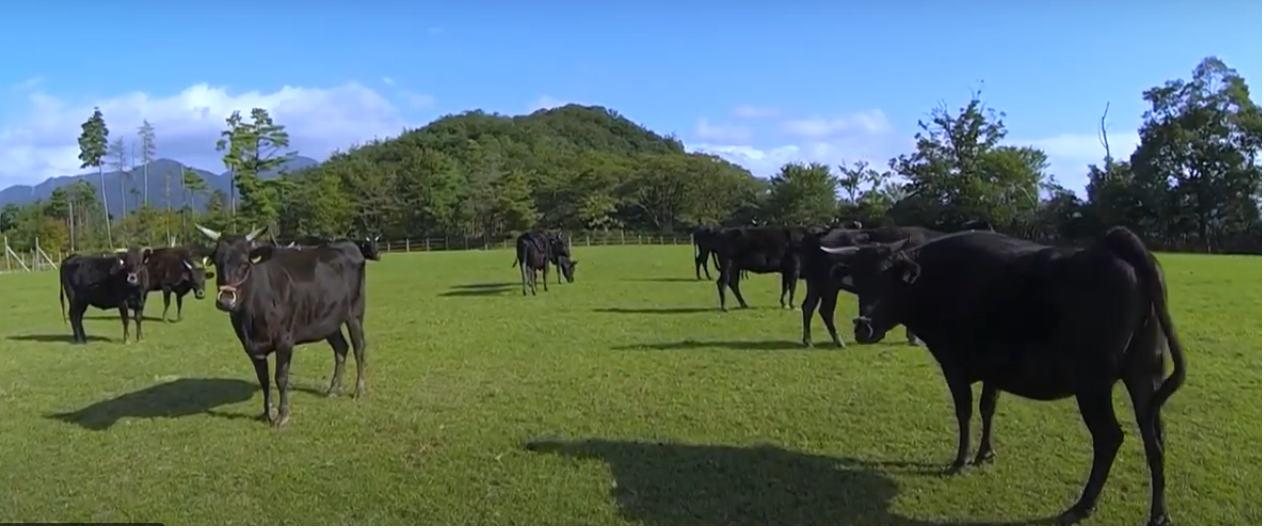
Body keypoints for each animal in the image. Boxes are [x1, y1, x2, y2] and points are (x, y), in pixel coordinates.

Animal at [194, 223, 369, 429]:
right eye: (217, 263)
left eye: (245, 264)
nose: (226, 301)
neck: (251, 318)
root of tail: (346, 245)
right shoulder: (251, 347)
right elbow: (264, 379)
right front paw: (267, 413)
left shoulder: (284, 340)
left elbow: (281, 377)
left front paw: (282, 415)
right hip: (329, 321)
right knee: (341, 348)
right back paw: (334, 389)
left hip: (355, 313)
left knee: (359, 347)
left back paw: (359, 390)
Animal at [798, 226, 940, 346]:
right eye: (860, 280)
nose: (863, 330)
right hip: (827, 286)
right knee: (825, 310)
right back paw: (838, 341)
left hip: (815, 284)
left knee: (808, 306)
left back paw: (808, 341)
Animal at [819, 226, 1183, 522]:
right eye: (858, 280)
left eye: (887, 278)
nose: (862, 327)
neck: (937, 280)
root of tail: (1120, 248)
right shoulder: (994, 369)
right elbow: (988, 408)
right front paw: (985, 453)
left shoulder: (954, 365)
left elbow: (965, 411)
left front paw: (961, 460)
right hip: (1145, 376)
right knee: (1155, 438)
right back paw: (1158, 513)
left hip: (1092, 384)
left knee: (1109, 438)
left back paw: (1082, 506)